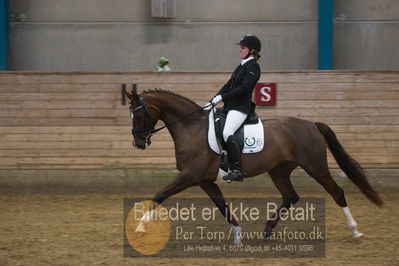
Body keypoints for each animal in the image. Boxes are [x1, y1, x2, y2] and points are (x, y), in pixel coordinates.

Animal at [122, 84, 384, 244]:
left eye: (138, 114)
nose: (138, 143)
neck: (191, 127)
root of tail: (311, 124)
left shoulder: (189, 176)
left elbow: (159, 195)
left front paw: (140, 228)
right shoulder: (205, 180)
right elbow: (222, 206)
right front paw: (238, 236)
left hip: (315, 166)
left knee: (336, 192)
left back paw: (356, 231)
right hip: (279, 171)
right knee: (290, 196)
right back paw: (267, 231)